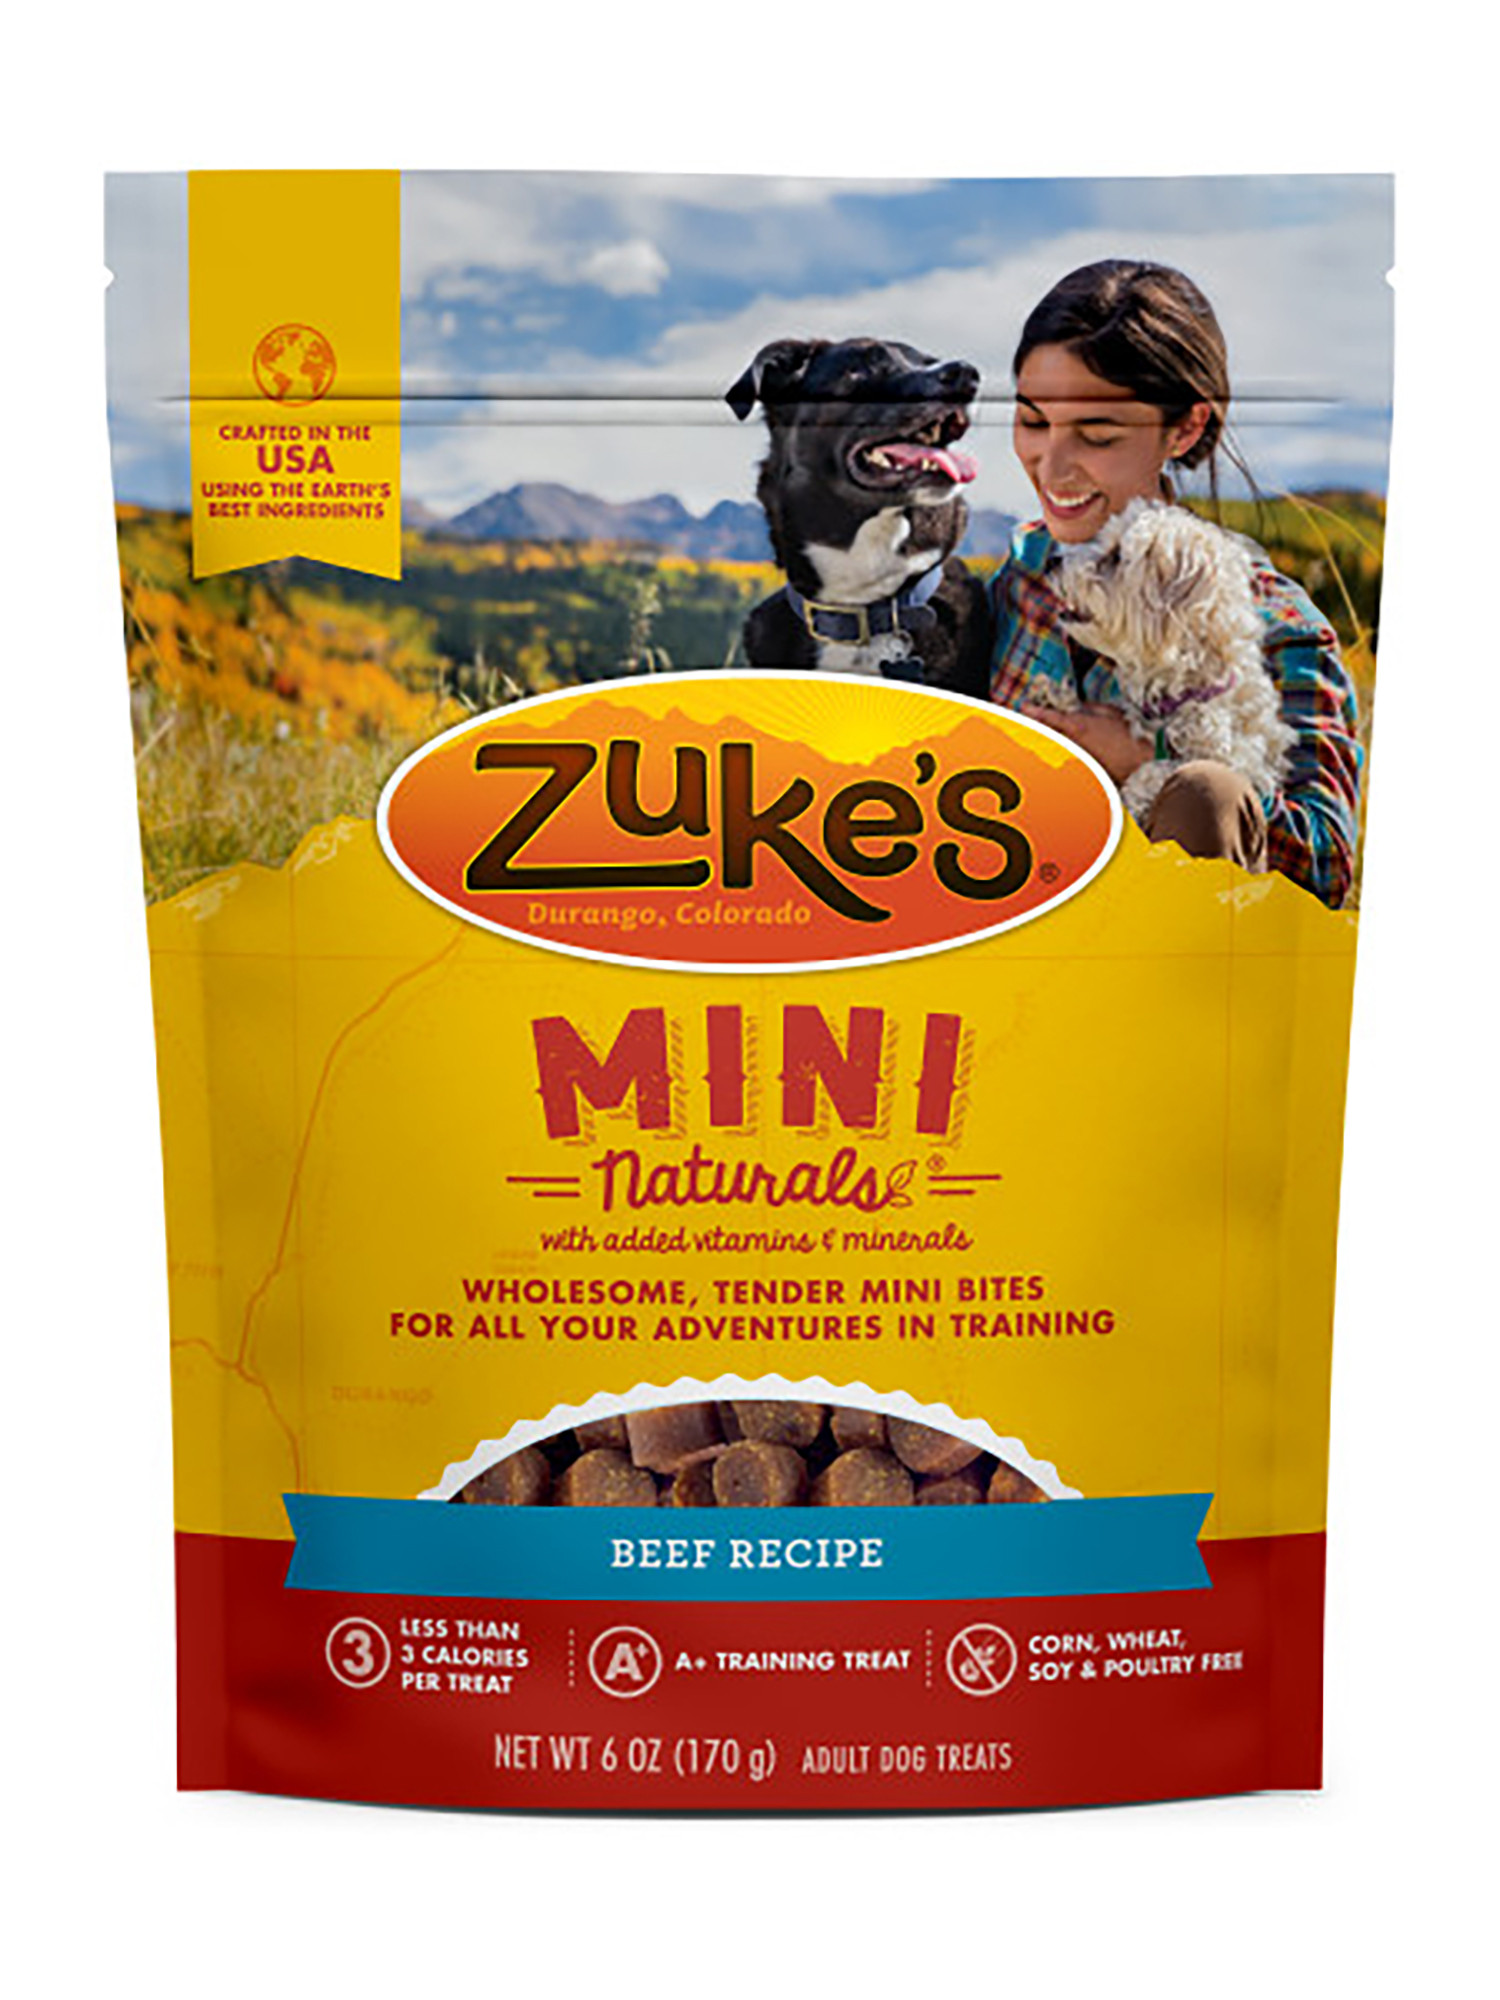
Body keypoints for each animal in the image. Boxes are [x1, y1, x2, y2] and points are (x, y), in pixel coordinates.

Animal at [1045, 499, 1295, 826]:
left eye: (1116, 556)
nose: (1051, 561)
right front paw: (1058, 698)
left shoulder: (1245, 764)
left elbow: (1166, 767)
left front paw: (1137, 790)